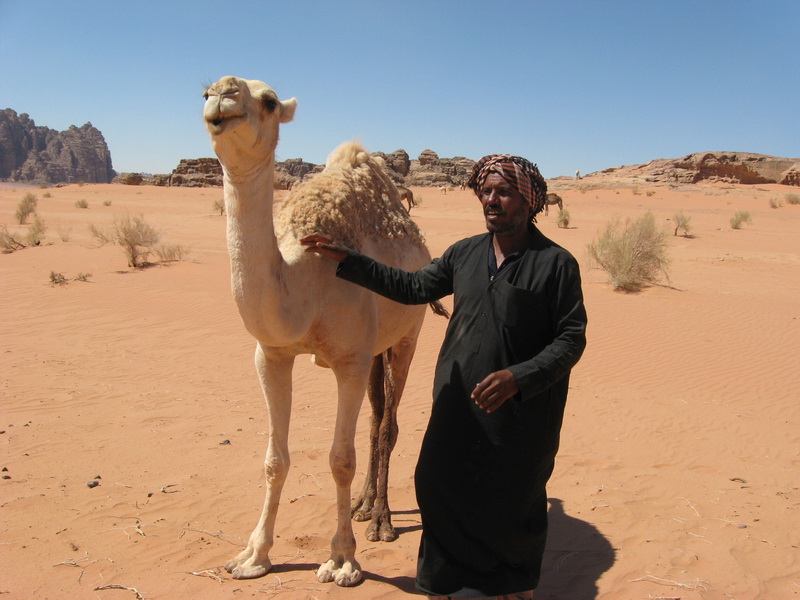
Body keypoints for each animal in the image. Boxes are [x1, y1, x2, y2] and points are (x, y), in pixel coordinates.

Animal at [203, 75, 444, 584]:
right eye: (203, 93)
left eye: (269, 101)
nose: (222, 93)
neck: (302, 278)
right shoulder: (271, 354)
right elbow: (275, 459)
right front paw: (253, 556)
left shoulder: (349, 359)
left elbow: (340, 459)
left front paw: (342, 560)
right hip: (376, 347)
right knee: (376, 418)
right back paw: (364, 504)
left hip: (407, 336)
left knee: (388, 424)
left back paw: (381, 522)